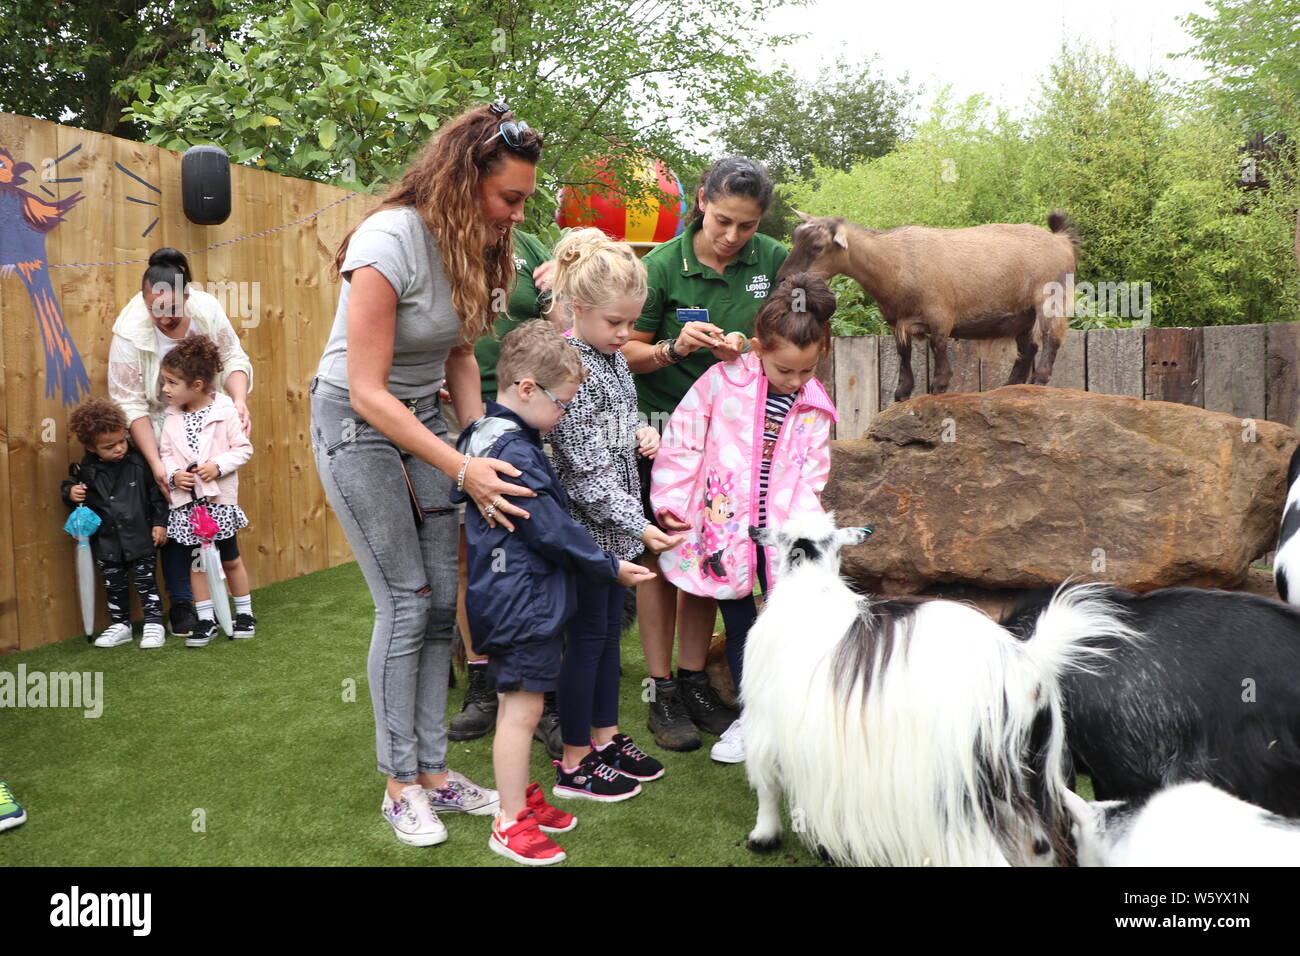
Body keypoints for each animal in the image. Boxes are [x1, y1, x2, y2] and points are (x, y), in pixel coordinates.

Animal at [743, 515, 1138, 868]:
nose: (752, 529)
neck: (810, 588)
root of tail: (1024, 664)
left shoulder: (766, 720)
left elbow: (766, 779)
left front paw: (763, 836)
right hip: (1032, 769)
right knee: (1041, 843)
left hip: (957, 794)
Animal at [774, 213, 1081, 400]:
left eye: (817, 246)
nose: (782, 278)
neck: (895, 260)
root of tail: (1061, 241)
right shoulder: (896, 320)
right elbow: (904, 352)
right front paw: (902, 391)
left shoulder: (939, 314)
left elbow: (938, 346)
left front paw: (939, 385)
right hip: (1022, 314)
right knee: (1028, 348)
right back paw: (1011, 385)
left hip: (1050, 296)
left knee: (1051, 337)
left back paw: (1039, 379)